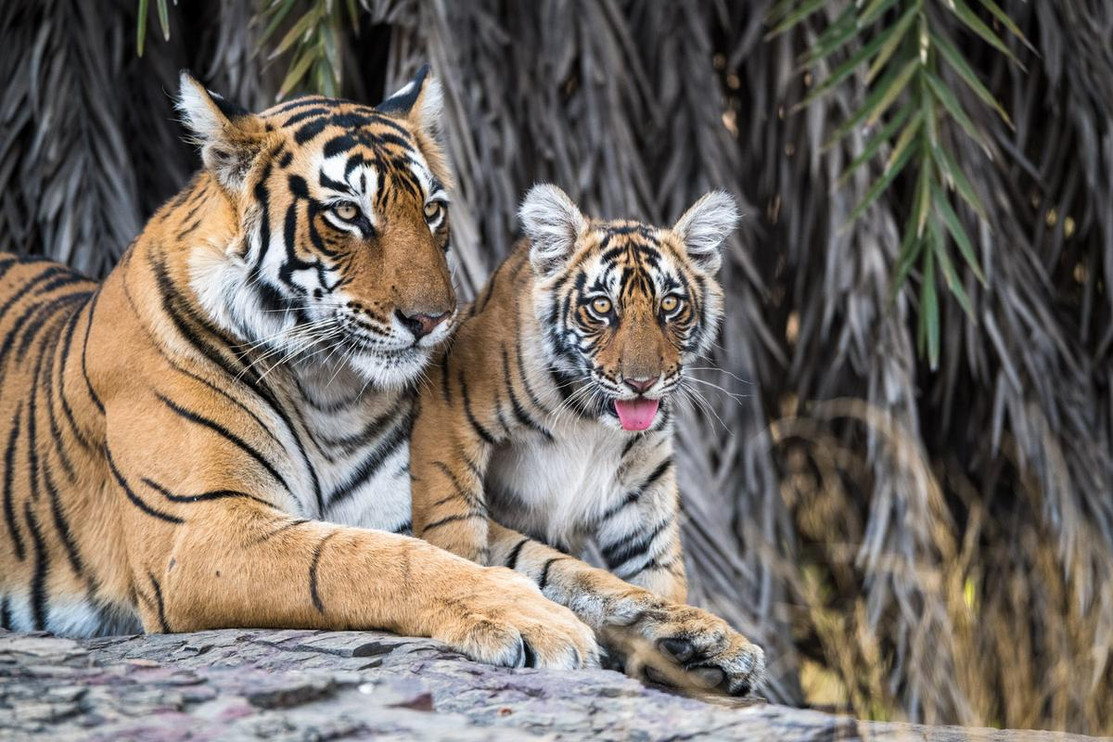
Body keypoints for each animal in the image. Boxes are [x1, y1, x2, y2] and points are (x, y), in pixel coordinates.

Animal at [410, 184, 766, 696]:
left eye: (670, 306)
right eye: (601, 307)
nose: (641, 382)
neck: (589, 421)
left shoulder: (643, 488)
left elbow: (656, 575)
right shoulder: (448, 410)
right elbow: (453, 521)